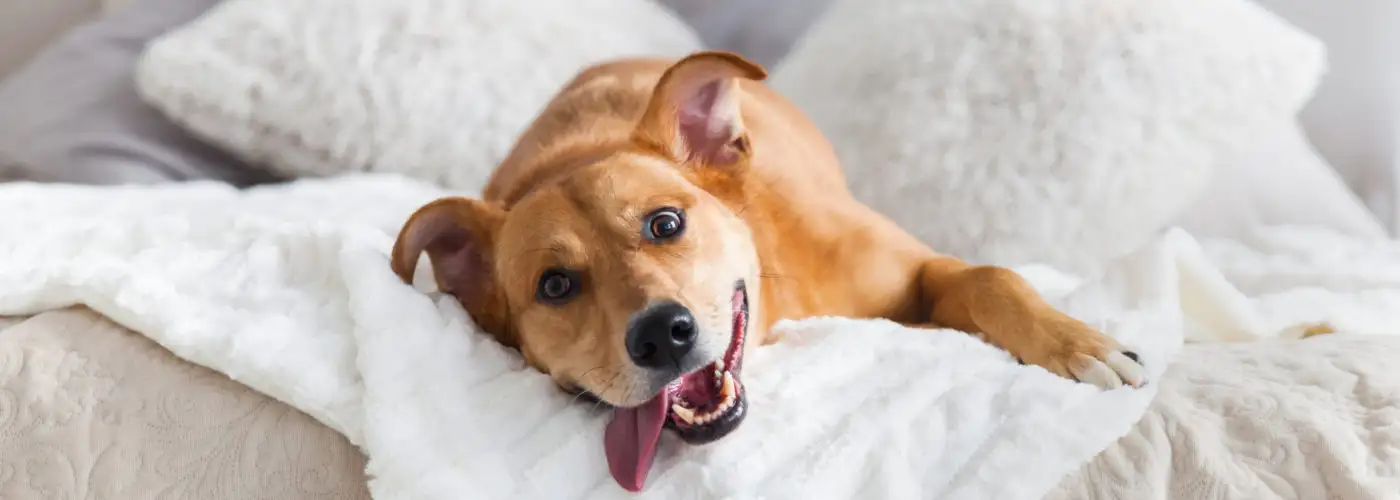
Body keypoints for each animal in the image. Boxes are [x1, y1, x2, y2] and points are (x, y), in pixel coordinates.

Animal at [389, 51, 1142, 490]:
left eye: (665, 224)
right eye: (555, 286)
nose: (661, 335)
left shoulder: (925, 270)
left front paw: (1079, 345)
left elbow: (991, 277)